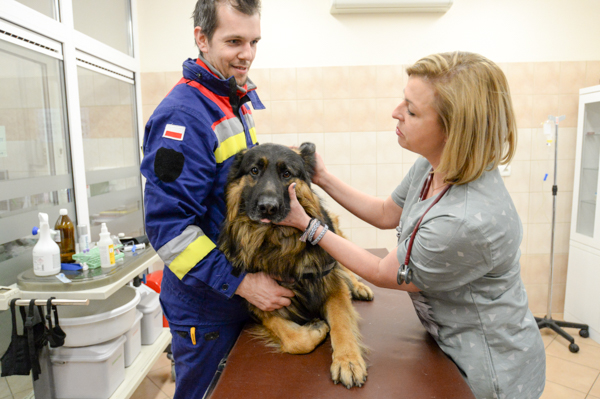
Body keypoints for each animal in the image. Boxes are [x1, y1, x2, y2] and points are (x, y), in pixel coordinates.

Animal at [218, 142, 372, 390]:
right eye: (254, 171)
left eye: (287, 174)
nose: (267, 208)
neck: (276, 243)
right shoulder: (262, 301)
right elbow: (294, 340)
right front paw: (316, 328)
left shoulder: (331, 284)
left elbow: (341, 322)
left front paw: (347, 360)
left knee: (345, 267)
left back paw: (358, 286)